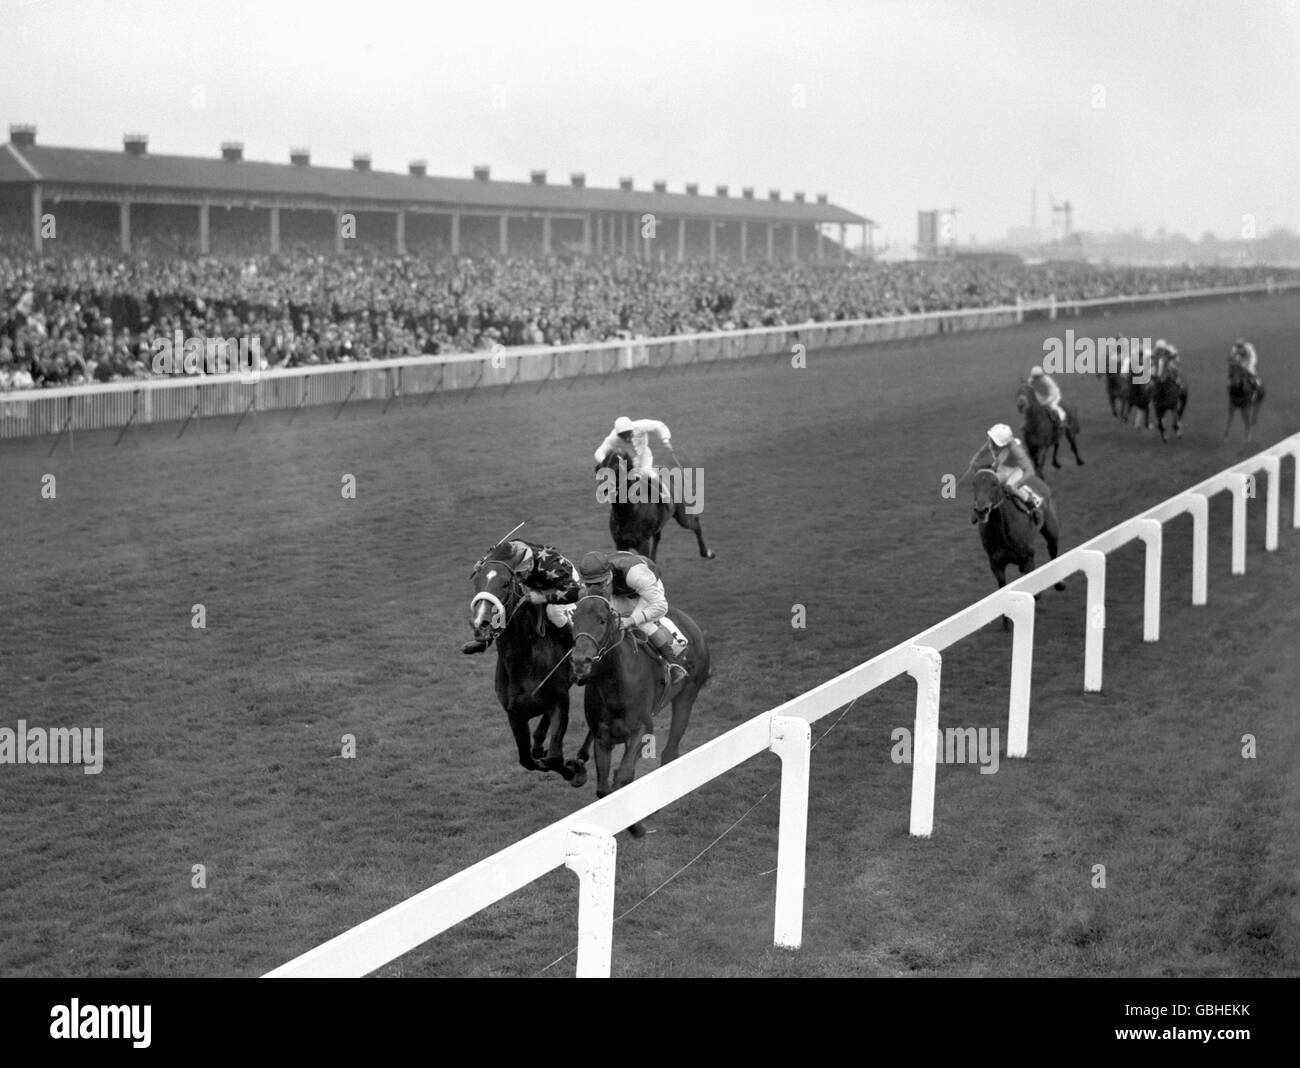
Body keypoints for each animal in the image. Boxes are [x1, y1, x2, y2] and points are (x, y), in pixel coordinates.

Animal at [470, 543, 587, 784]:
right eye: (478, 582)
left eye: (505, 583)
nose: (480, 624)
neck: (523, 663)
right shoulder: (515, 714)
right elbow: (527, 760)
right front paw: (539, 753)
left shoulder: (560, 701)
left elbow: (555, 758)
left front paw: (576, 770)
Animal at [569, 597, 712, 841]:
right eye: (574, 619)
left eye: (602, 620)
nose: (580, 661)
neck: (614, 683)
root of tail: (692, 625)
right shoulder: (602, 736)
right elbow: (604, 789)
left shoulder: (642, 730)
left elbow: (623, 777)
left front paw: (636, 827)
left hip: (687, 696)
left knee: (670, 752)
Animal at [977, 467, 1066, 626]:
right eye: (974, 484)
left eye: (994, 484)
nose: (981, 510)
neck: (1003, 533)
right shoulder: (996, 563)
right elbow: (1002, 587)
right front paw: (1006, 622)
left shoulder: (1028, 557)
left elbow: (1034, 591)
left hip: (1051, 531)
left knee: (1053, 550)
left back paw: (1059, 583)